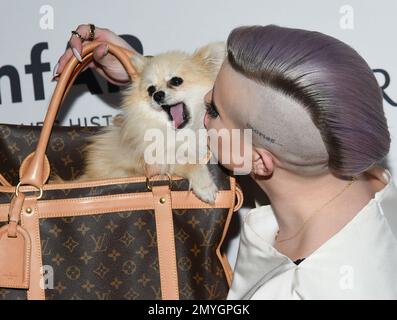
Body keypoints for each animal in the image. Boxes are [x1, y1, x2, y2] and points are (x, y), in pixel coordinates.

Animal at [78, 42, 226, 202]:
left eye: (176, 81)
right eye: (151, 90)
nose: (157, 95)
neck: (184, 133)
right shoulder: (158, 160)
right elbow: (189, 162)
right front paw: (205, 186)